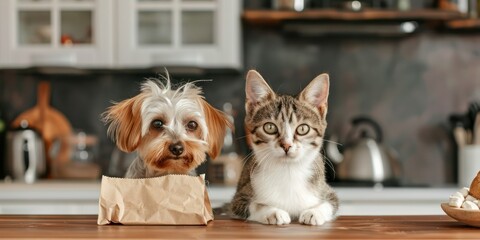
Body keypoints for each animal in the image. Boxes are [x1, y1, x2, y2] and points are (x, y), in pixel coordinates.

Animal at [231, 69, 340, 225]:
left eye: (303, 129)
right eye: (270, 127)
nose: (286, 145)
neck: (288, 170)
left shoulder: (328, 192)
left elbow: (329, 203)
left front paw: (314, 212)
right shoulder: (238, 199)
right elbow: (254, 205)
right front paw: (274, 212)